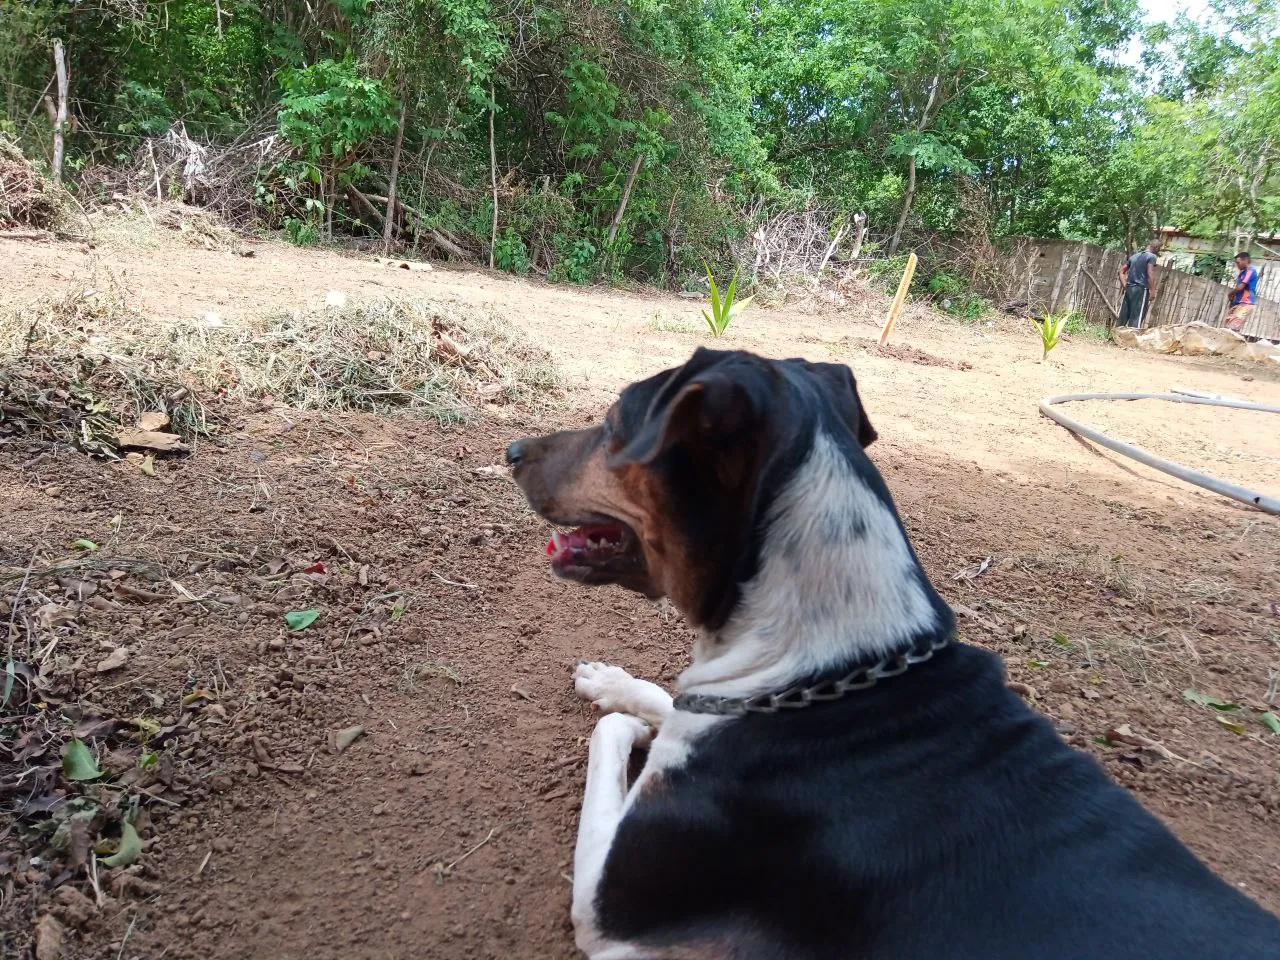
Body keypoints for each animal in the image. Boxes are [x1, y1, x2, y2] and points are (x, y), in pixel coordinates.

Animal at [504, 350, 1274, 960]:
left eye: (614, 417)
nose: (510, 451)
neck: (838, 674)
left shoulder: (607, 903)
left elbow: (617, 740)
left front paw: (629, 718)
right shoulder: (726, 697)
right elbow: (673, 699)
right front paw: (613, 681)